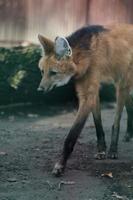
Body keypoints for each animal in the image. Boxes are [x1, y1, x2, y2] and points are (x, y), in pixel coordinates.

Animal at [37, 24, 133, 176]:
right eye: (42, 71)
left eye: (53, 73)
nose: (40, 90)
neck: (87, 57)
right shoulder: (90, 91)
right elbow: (98, 123)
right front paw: (101, 150)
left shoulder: (89, 92)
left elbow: (72, 136)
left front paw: (60, 165)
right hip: (121, 85)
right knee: (130, 103)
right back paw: (129, 133)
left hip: (121, 84)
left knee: (117, 119)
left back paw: (114, 149)